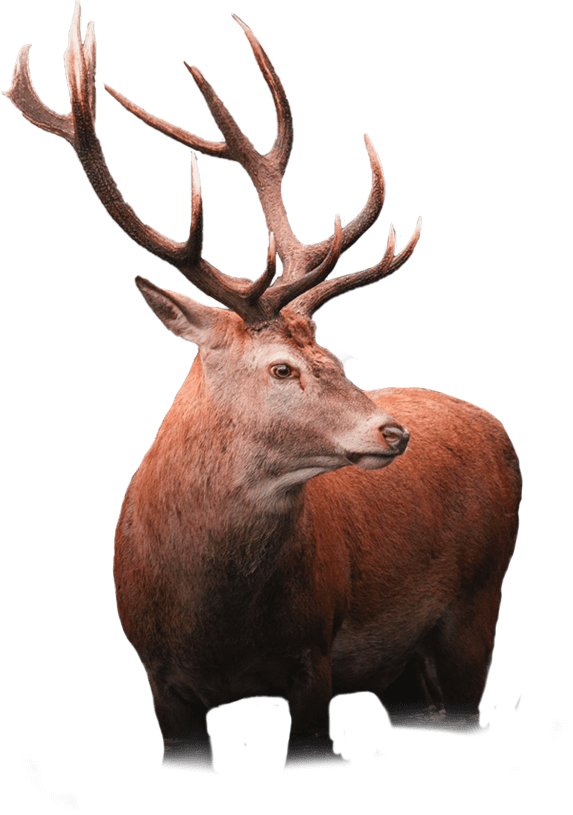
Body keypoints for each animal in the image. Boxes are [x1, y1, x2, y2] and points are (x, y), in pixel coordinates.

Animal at [4, 2, 521, 772]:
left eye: (338, 357)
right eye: (282, 367)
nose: (393, 430)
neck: (212, 623)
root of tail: (494, 421)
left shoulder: (314, 656)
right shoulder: (158, 679)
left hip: (478, 598)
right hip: (404, 662)